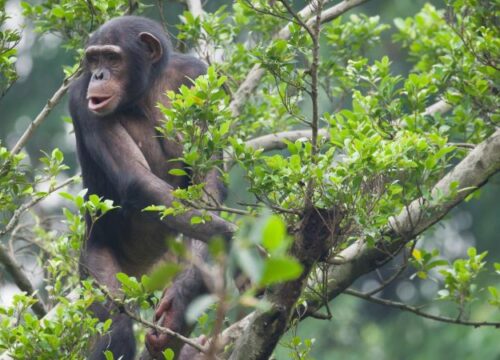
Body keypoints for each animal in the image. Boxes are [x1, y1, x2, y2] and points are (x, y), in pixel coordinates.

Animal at [69, 16, 232, 360]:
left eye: (112, 58)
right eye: (94, 60)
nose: (99, 75)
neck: (146, 87)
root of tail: (144, 276)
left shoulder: (199, 78)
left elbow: (207, 179)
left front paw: (179, 301)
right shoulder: (79, 96)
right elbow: (136, 178)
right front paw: (228, 233)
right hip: (95, 260)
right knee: (114, 327)